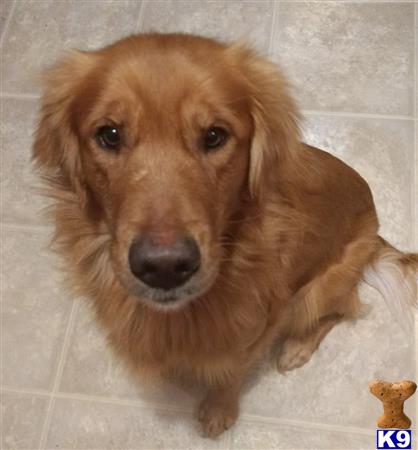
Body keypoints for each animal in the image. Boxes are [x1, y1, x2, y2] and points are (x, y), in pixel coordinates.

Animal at [33, 33, 418, 438]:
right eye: (109, 135)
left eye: (214, 136)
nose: (164, 267)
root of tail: (375, 233)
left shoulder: (258, 328)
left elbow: (231, 373)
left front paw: (219, 410)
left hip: (316, 290)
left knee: (341, 310)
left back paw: (296, 348)